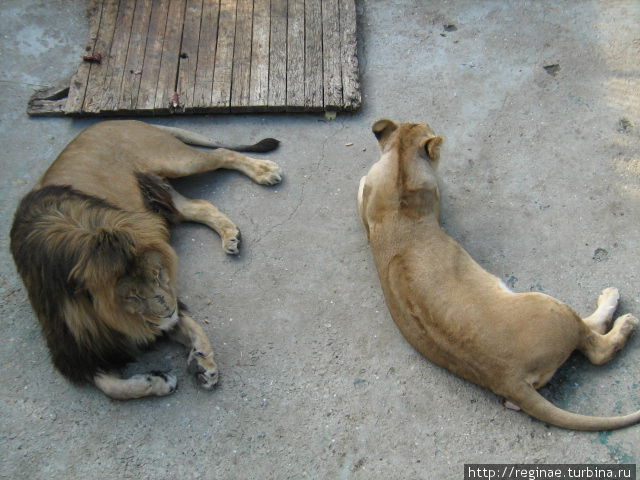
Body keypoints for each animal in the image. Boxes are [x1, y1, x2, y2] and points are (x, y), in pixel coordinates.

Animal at [10, 121, 282, 402]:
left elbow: (191, 327)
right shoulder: (78, 351)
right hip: (159, 192)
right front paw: (171, 376)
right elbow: (112, 386)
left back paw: (264, 171)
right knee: (199, 205)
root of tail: (108, 122)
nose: (170, 314)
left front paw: (197, 364)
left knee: (220, 153)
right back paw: (231, 235)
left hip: (176, 161)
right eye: (132, 297)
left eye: (159, 273)